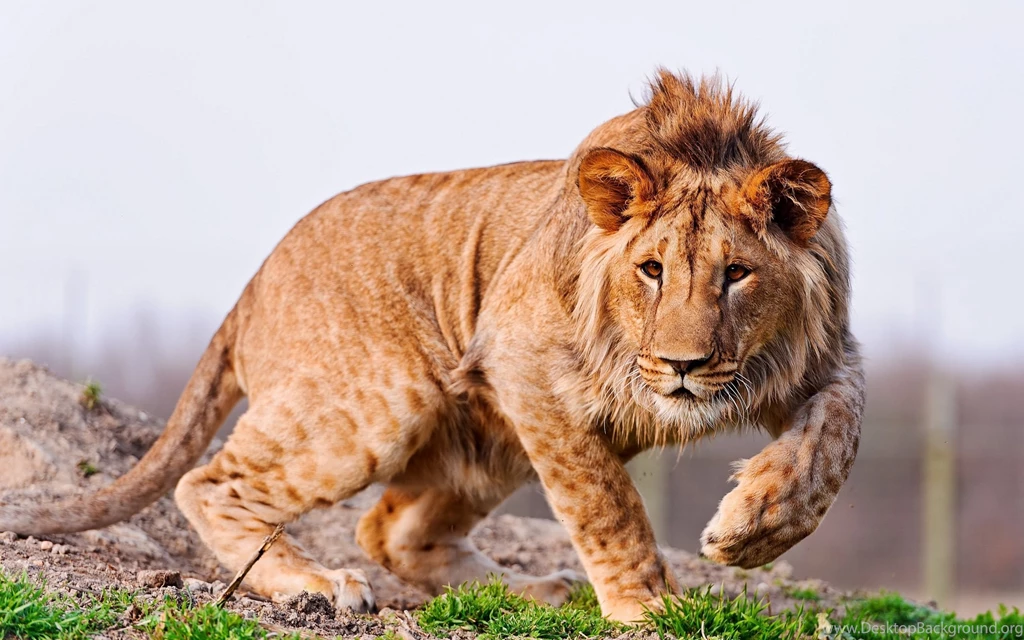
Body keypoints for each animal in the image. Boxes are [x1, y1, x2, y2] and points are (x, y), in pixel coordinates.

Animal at [0, 70, 863, 622]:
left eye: (737, 274)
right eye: (651, 270)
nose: (685, 367)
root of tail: (255, 282)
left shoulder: (825, 357)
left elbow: (834, 442)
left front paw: (752, 528)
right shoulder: (524, 362)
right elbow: (607, 505)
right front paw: (647, 608)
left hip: (488, 442)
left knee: (390, 530)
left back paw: (534, 591)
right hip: (389, 400)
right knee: (211, 483)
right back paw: (315, 585)